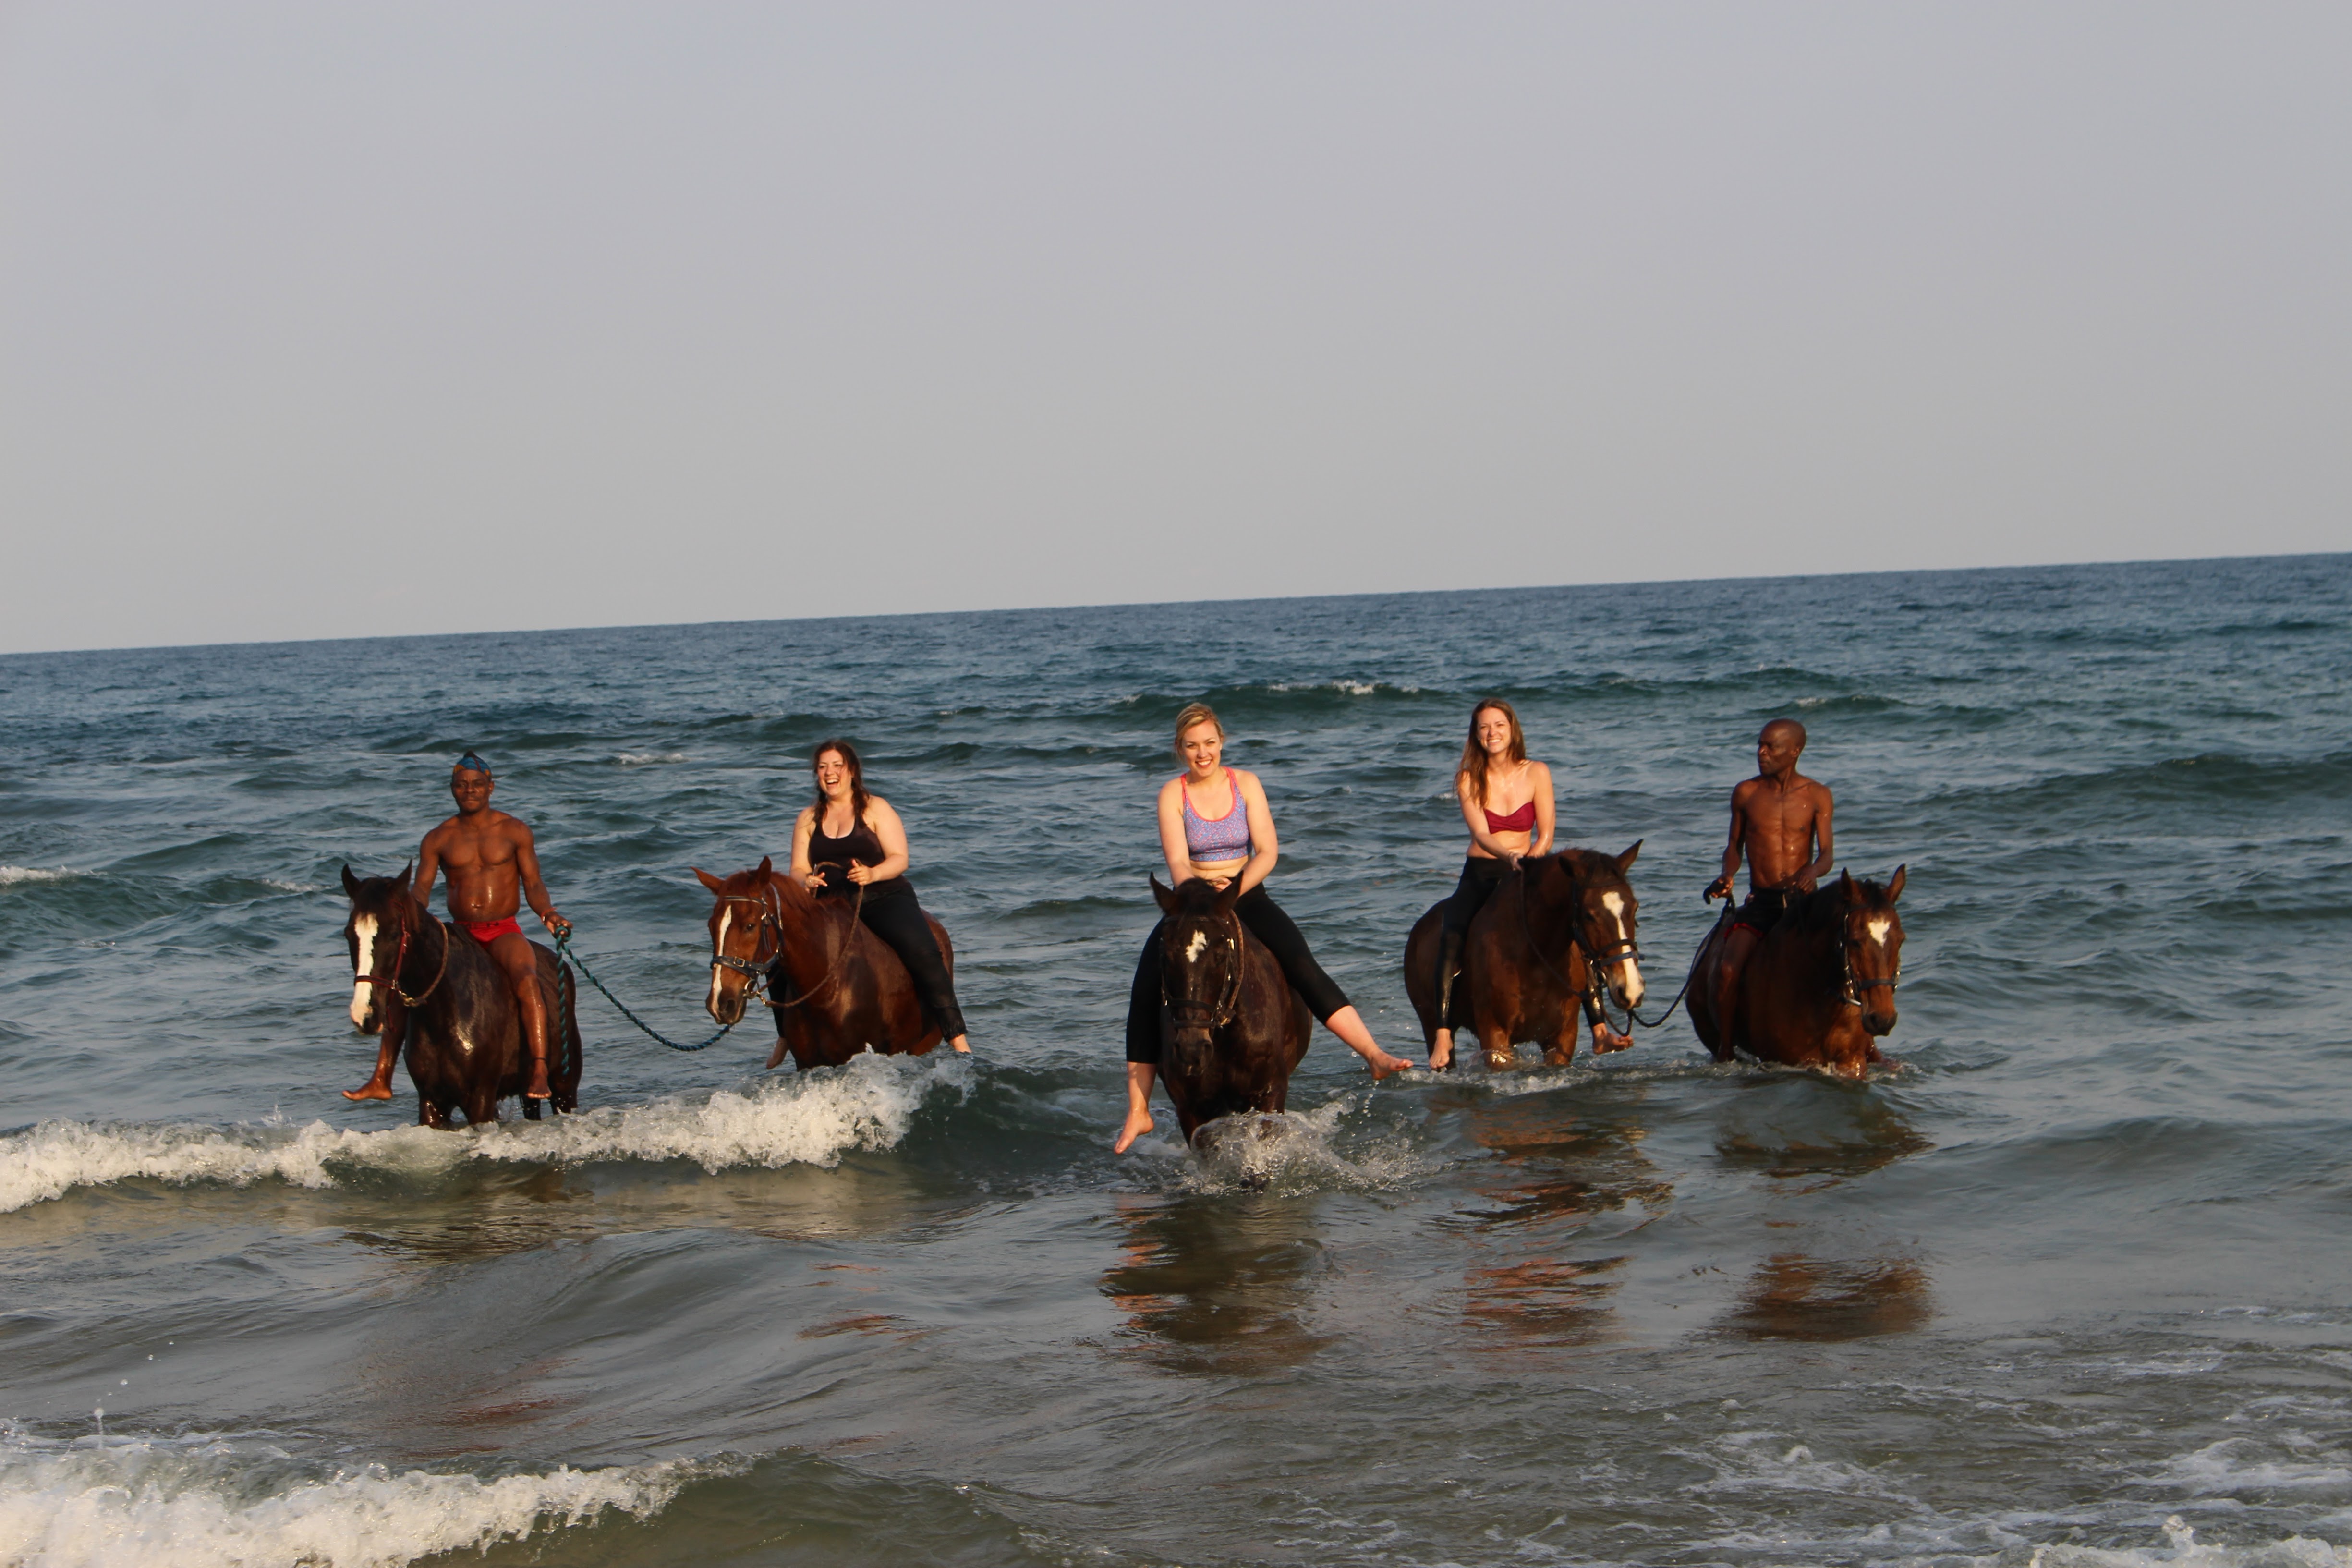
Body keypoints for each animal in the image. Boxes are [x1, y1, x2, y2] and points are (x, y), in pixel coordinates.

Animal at [340, 864, 582, 1126]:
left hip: (564, 1090)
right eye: (349, 934)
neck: (446, 1010)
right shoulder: (432, 1101)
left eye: (395, 933)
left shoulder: (481, 1099)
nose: (365, 1014)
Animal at [1402, 845, 1647, 1071]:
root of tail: (1418, 929)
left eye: (1635, 907)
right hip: (1431, 1023)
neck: (1537, 955)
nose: (1631, 990)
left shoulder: (1562, 1037)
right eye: (1589, 915)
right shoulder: (1495, 1036)